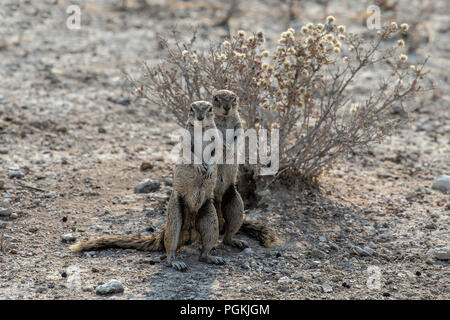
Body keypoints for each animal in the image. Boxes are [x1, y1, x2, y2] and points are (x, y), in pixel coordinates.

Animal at [70, 101, 225, 272]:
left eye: (210, 108)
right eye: (191, 108)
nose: (200, 117)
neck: (201, 129)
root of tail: (188, 234)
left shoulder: (217, 138)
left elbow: (217, 152)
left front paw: (209, 168)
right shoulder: (185, 138)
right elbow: (188, 152)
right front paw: (199, 165)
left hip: (211, 219)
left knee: (203, 251)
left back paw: (212, 257)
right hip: (175, 217)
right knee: (170, 247)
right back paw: (175, 262)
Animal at [212, 89, 278, 248]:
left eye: (234, 98)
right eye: (216, 98)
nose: (227, 107)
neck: (225, 118)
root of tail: (218, 197)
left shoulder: (238, 125)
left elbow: (239, 136)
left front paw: (231, 149)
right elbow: (218, 138)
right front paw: (225, 147)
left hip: (235, 203)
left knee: (228, 234)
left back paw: (236, 242)